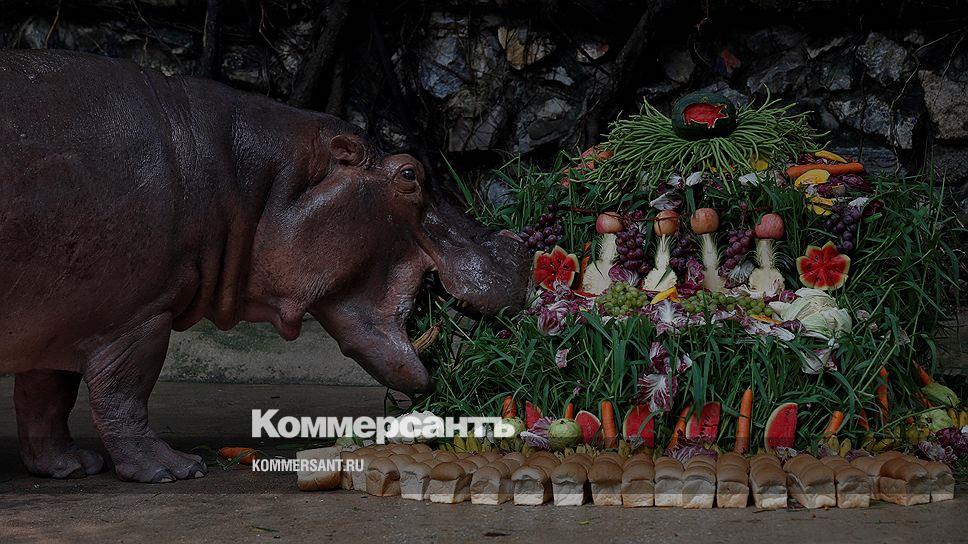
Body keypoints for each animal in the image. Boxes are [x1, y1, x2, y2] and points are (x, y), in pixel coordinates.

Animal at [0, 49, 529, 482]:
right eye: (408, 174)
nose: (515, 246)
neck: (249, 183)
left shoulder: (65, 319)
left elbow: (46, 397)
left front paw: (69, 467)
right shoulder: (137, 317)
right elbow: (124, 394)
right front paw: (175, 471)